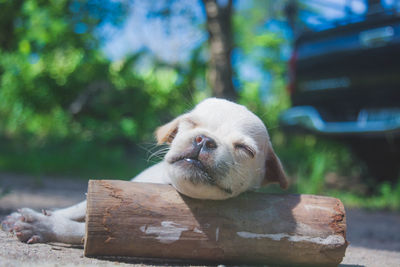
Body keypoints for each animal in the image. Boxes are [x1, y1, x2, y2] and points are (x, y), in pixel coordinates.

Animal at [0, 98, 288, 245]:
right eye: (190, 123)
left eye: (244, 149)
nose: (204, 140)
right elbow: (79, 206)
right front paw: (44, 214)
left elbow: (85, 229)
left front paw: (44, 225)